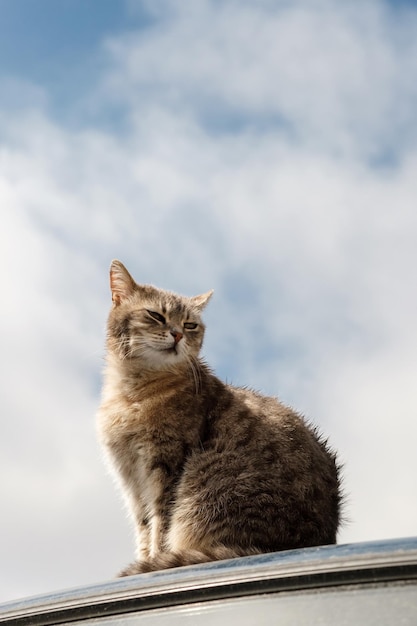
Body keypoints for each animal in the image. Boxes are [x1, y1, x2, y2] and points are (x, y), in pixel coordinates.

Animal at [97, 260, 342, 576]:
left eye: (190, 325)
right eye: (156, 315)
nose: (177, 334)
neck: (131, 391)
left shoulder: (165, 466)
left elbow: (160, 528)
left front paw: (152, 562)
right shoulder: (132, 479)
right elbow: (144, 528)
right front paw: (144, 560)